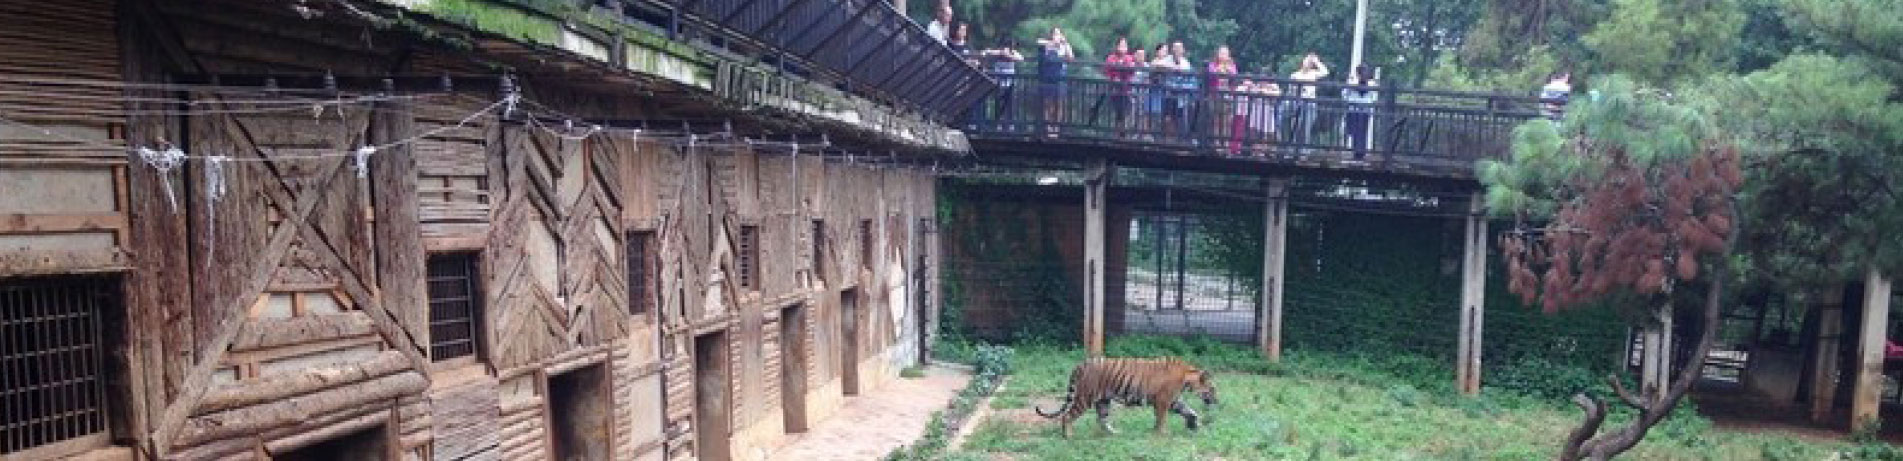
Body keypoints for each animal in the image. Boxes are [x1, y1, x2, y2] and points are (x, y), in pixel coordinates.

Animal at [1035, 356, 1210, 440]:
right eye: (1212, 389)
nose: (1215, 400)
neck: (1187, 377)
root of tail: (1082, 364)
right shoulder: (1163, 401)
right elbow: (1162, 419)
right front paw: (1162, 433)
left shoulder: (1173, 401)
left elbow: (1189, 411)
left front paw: (1193, 425)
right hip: (1085, 398)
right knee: (1067, 416)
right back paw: (1068, 436)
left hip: (1103, 400)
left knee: (1102, 419)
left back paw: (1115, 433)